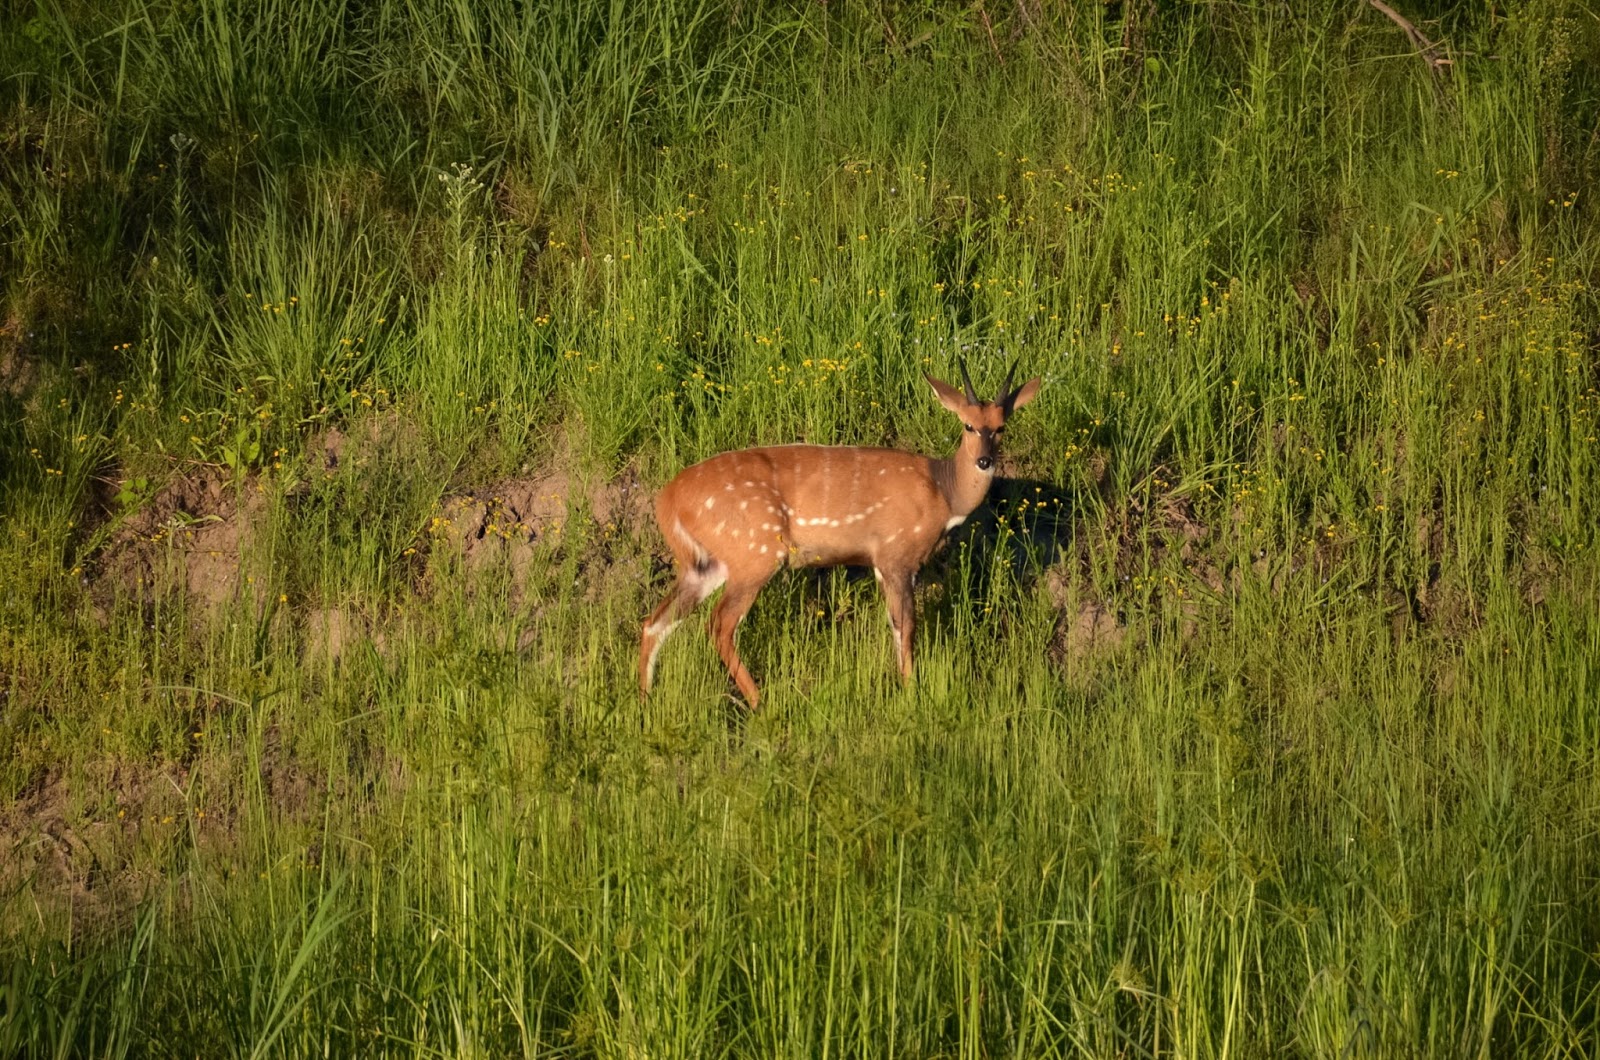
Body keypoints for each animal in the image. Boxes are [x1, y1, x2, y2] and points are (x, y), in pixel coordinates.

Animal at [639, 362, 1041, 708]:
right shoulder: (897, 554)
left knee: (655, 621)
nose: (985, 461)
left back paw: (645, 697)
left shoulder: (882, 563)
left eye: (1001, 427)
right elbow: (906, 626)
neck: (943, 493)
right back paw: (758, 700)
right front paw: (911, 691)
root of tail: (667, 501)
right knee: (719, 624)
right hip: (754, 551)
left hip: (704, 564)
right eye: (967, 425)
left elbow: (895, 626)